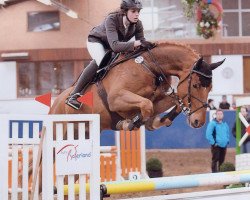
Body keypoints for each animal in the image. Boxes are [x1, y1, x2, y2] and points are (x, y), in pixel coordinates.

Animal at [48, 41, 225, 131]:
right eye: (195, 85)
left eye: (210, 88)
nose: (198, 122)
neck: (149, 66)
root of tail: (55, 103)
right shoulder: (116, 99)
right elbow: (146, 106)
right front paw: (129, 123)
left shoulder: (157, 99)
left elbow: (168, 102)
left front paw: (158, 121)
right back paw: (73, 99)